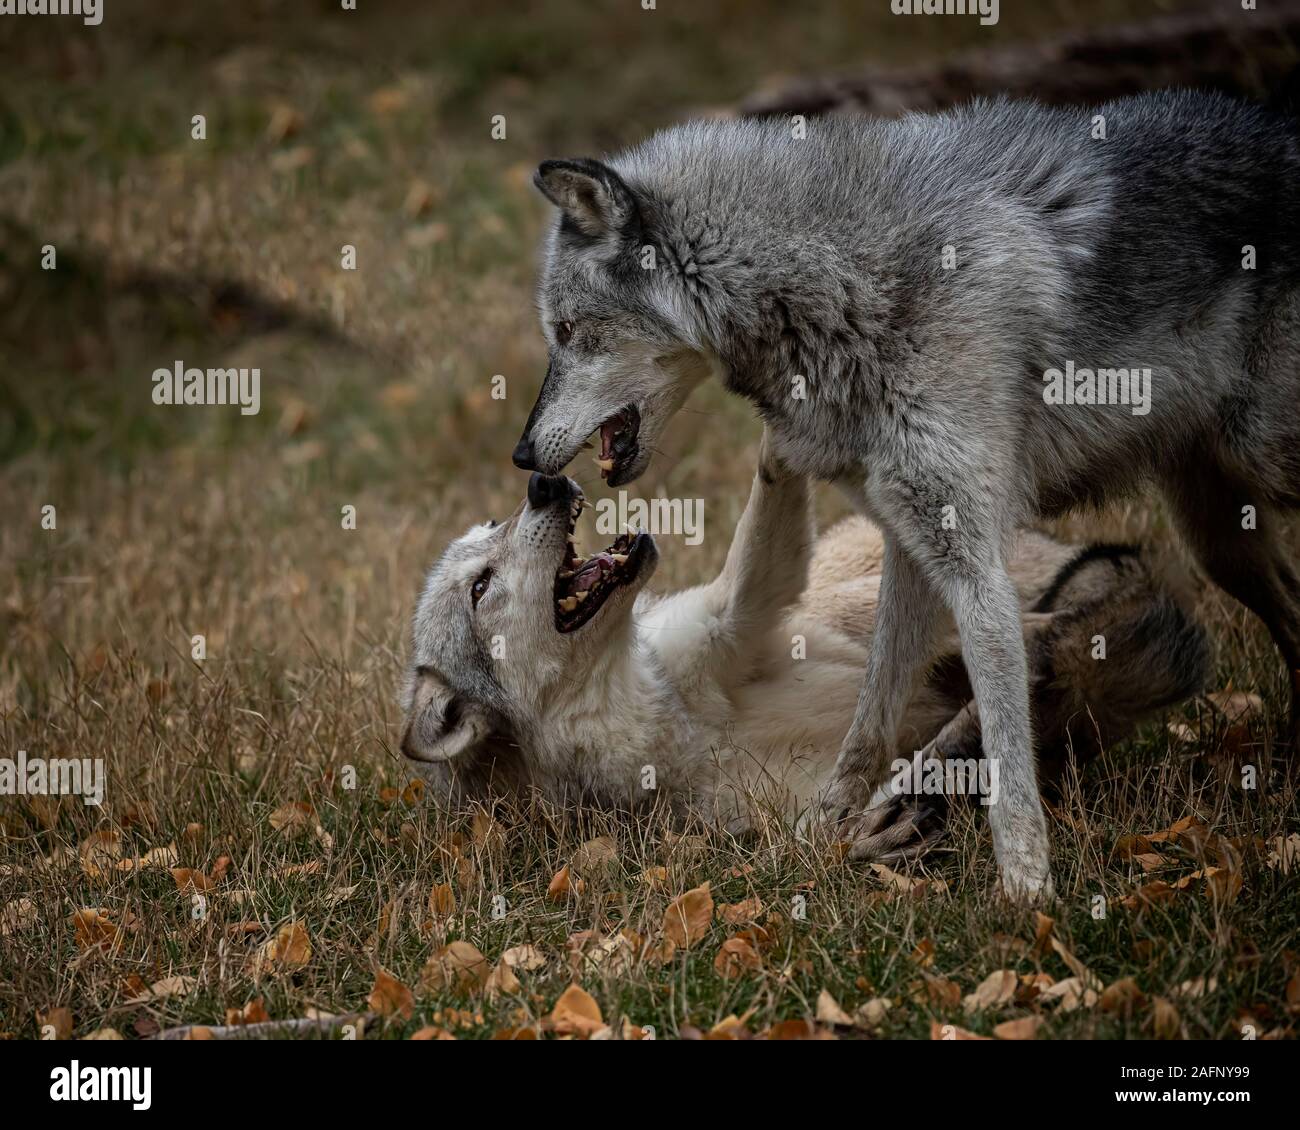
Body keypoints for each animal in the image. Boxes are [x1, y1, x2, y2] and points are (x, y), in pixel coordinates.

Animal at [397, 431, 1206, 847]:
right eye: (480, 587)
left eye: (491, 527)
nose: (542, 485)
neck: (663, 721)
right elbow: (824, 833)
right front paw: (880, 827)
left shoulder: (740, 611)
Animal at [506, 92, 1300, 894]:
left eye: (568, 331)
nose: (523, 456)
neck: (847, 280)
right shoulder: (916, 546)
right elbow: (871, 722)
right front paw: (820, 841)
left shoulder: (974, 562)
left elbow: (1005, 748)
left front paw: (1029, 898)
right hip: (1219, 539)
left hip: (1260, 466)